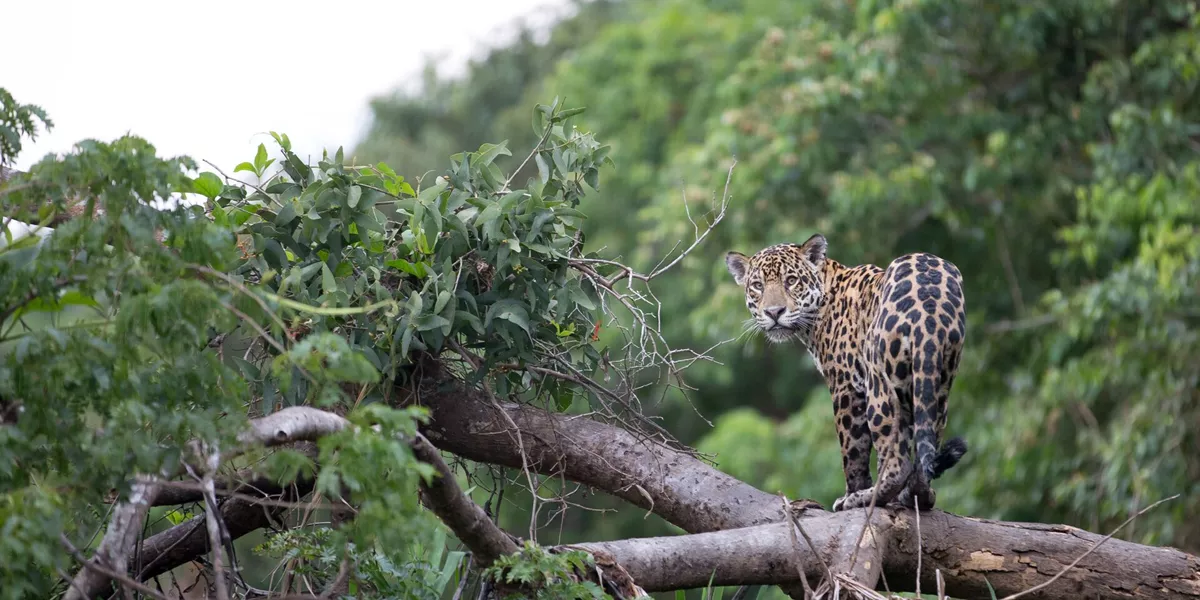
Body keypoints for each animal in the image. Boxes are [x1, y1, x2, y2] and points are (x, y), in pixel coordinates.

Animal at [725, 233, 968, 511]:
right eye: (757, 285)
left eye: (791, 280)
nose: (774, 312)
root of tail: (929, 307)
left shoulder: (846, 386)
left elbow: (852, 450)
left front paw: (851, 492)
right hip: (938, 381)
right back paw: (918, 494)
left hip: (879, 385)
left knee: (896, 461)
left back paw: (866, 498)